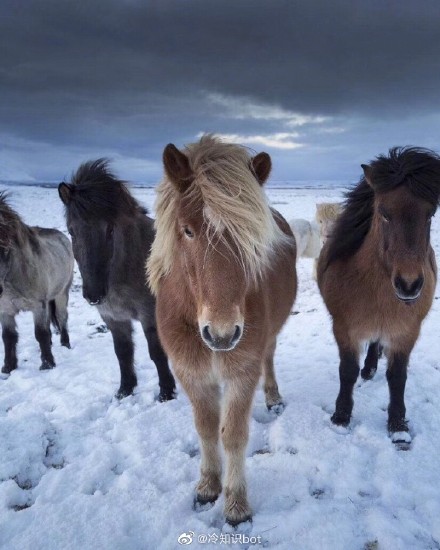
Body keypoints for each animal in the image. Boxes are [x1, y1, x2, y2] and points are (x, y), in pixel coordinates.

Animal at [0, 193, 73, 376]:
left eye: (5, 248)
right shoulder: (5, 310)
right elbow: (8, 337)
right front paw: (8, 367)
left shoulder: (37, 306)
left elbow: (40, 333)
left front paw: (48, 364)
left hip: (61, 295)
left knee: (62, 318)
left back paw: (65, 343)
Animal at [57, 160, 175, 402]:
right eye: (71, 230)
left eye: (110, 229)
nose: (94, 294)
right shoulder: (113, 318)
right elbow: (122, 352)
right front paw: (125, 390)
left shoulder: (150, 315)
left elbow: (157, 353)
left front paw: (166, 393)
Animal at [147, 136, 296, 528]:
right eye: (187, 230)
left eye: (249, 238)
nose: (223, 335)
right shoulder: (191, 374)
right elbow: (206, 428)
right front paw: (208, 486)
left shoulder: (242, 373)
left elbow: (233, 435)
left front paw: (236, 503)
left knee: (270, 357)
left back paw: (273, 396)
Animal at [318, 147, 440, 448]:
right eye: (384, 213)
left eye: (430, 214)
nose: (409, 285)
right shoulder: (344, 329)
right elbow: (347, 371)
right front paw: (341, 417)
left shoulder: (406, 332)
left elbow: (397, 376)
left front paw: (398, 426)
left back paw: (371, 368)